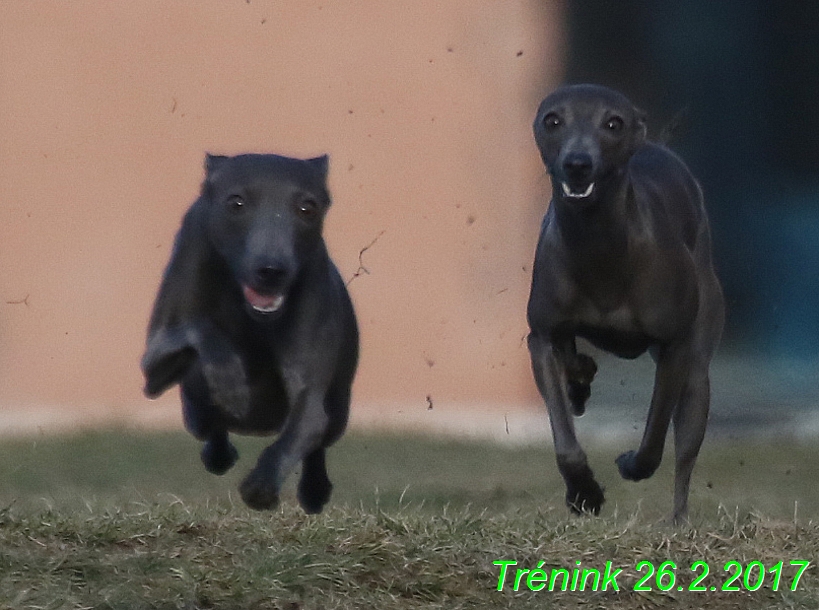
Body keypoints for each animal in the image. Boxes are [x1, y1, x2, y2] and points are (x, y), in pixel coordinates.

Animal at [142, 153, 358, 512]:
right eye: (236, 203)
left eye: (307, 207)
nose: (271, 270)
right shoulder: (153, 362)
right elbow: (197, 330)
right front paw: (230, 382)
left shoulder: (311, 391)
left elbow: (308, 421)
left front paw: (262, 484)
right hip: (193, 410)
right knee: (209, 425)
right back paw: (219, 449)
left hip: (339, 410)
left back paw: (314, 490)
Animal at [524, 84, 724, 524]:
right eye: (553, 119)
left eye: (613, 123)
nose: (577, 164)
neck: (600, 247)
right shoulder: (541, 337)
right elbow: (565, 441)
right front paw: (583, 492)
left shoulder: (674, 347)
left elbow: (653, 441)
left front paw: (629, 464)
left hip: (698, 365)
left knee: (685, 452)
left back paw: (679, 522)